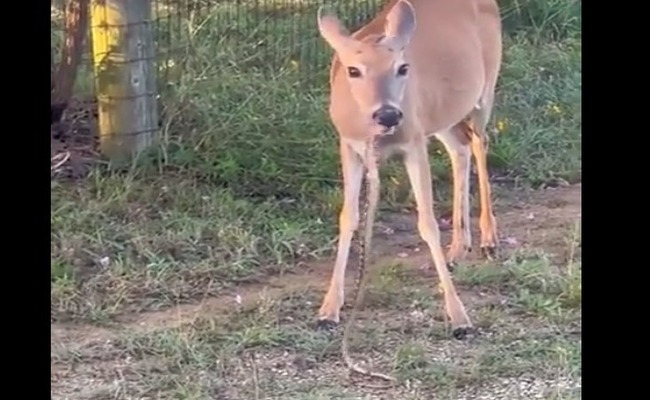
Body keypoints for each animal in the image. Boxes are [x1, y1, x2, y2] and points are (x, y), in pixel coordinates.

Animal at [314, 0, 502, 340]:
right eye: (353, 70)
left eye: (402, 68)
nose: (388, 114)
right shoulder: (349, 145)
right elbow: (348, 217)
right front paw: (328, 310)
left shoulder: (414, 142)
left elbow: (427, 222)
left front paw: (460, 318)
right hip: (442, 115)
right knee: (461, 147)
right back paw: (458, 248)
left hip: (484, 90)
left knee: (480, 142)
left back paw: (488, 239)